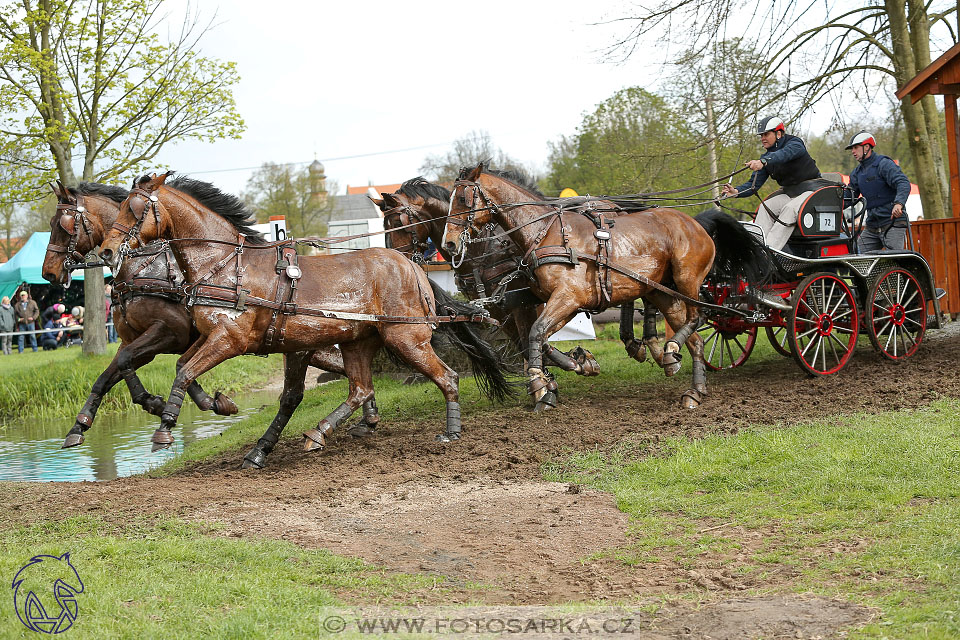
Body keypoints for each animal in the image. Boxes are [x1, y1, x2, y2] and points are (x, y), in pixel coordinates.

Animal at [39, 182, 366, 458]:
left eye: (63, 226)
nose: (49, 273)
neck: (144, 269)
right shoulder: (136, 340)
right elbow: (108, 376)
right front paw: (80, 425)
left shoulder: (166, 333)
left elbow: (131, 363)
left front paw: (158, 404)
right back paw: (364, 419)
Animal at [98, 172, 512, 468]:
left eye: (134, 209)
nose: (106, 251)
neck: (227, 266)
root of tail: (412, 266)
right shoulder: (223, 337)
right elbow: (186, 366)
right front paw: (221, 411)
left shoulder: (230, 339)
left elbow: (185, 371)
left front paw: (166, 426)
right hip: (358, 342)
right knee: (361, 388)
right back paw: (322, 431)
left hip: (405, 339)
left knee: (447, 377)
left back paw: (451, 431)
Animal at [376, 176, 600, 410]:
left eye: (398, 223)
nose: (396, 261)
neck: (482, 249)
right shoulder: (499, 308)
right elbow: (528, 343)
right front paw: (547, 382)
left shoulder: (522, 302)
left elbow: (533, 337)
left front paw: (552, 379)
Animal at [444, 162, 772, 408]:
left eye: (462, 199)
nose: (448, 244)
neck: (546, 232)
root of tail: (696, 223)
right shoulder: (541, 300)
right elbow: (539, 340)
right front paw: (577, 364)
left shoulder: (567, 298)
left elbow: (536, 334)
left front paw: (540, 384)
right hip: (661, 291)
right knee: (696, 338)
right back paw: (691, 384)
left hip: (686, 281)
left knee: (699, 316)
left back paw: (668, 351)